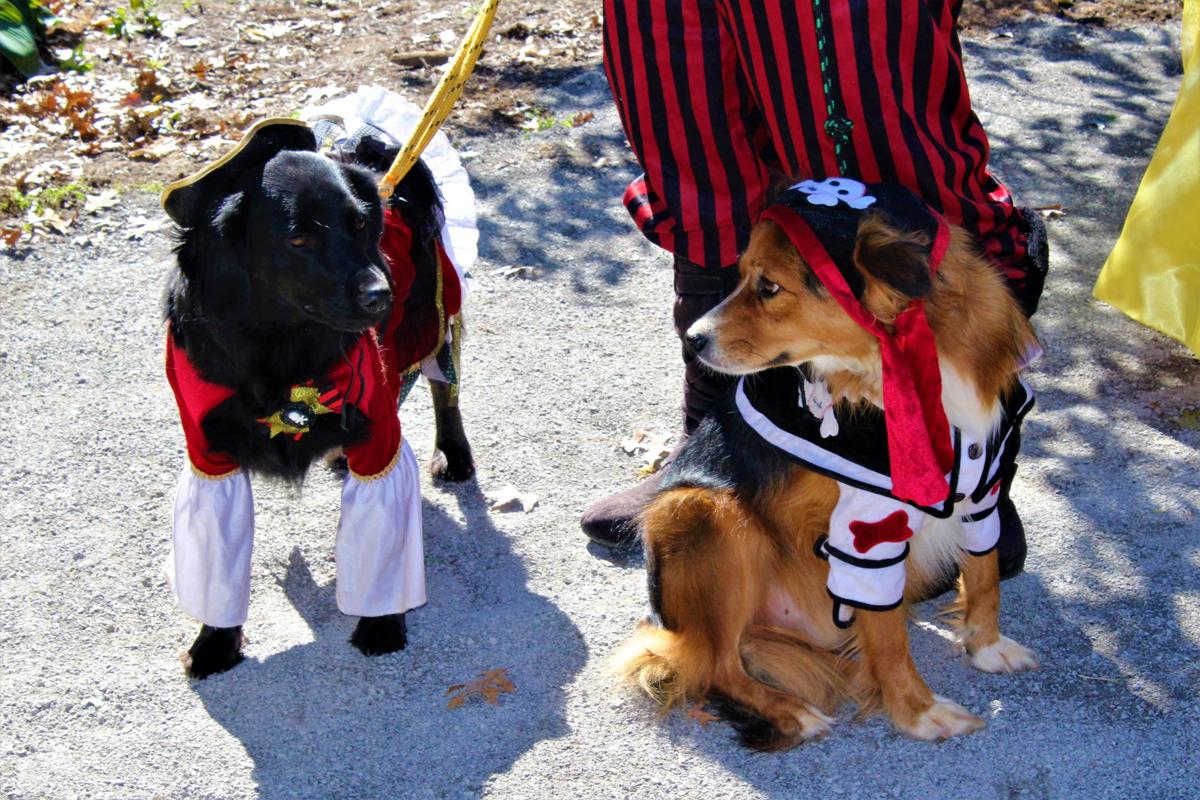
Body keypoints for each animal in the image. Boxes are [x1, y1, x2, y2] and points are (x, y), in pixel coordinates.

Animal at [164, 122, 472, 681]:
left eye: (360, 224)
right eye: (298, 237)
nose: (381, 294)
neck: (279, 344)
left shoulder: (377, 432)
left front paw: (380, 625)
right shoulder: (210, 457)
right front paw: (215, 641)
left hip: (433, 321)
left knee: (445, 390)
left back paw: (454, 454)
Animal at [614, 183, 1036, 753]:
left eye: (769, 286)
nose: (693, 339)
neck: (915, 361)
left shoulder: (982, 489)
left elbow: (986, 574)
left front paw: (987, 646)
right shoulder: (868, 534)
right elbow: (889, 641)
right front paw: (918, 713)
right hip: (701, 510)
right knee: (716, 666)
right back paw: (791, 711)